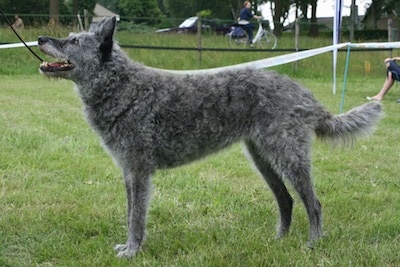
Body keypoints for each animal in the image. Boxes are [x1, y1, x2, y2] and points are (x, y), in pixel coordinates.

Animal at [38, 17, 382, 260]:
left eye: (72, 41)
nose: (41, 38)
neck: (123, 87)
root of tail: (305, 94)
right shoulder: (128, 173)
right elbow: (130, 214)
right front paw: (128, 246)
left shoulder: (138, 172)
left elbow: (136, 218)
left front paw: (133, 250)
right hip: (263, 158)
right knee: (286, 200)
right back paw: (279, 241)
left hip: (289, 157)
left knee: (313, 203)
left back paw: (313, 244)